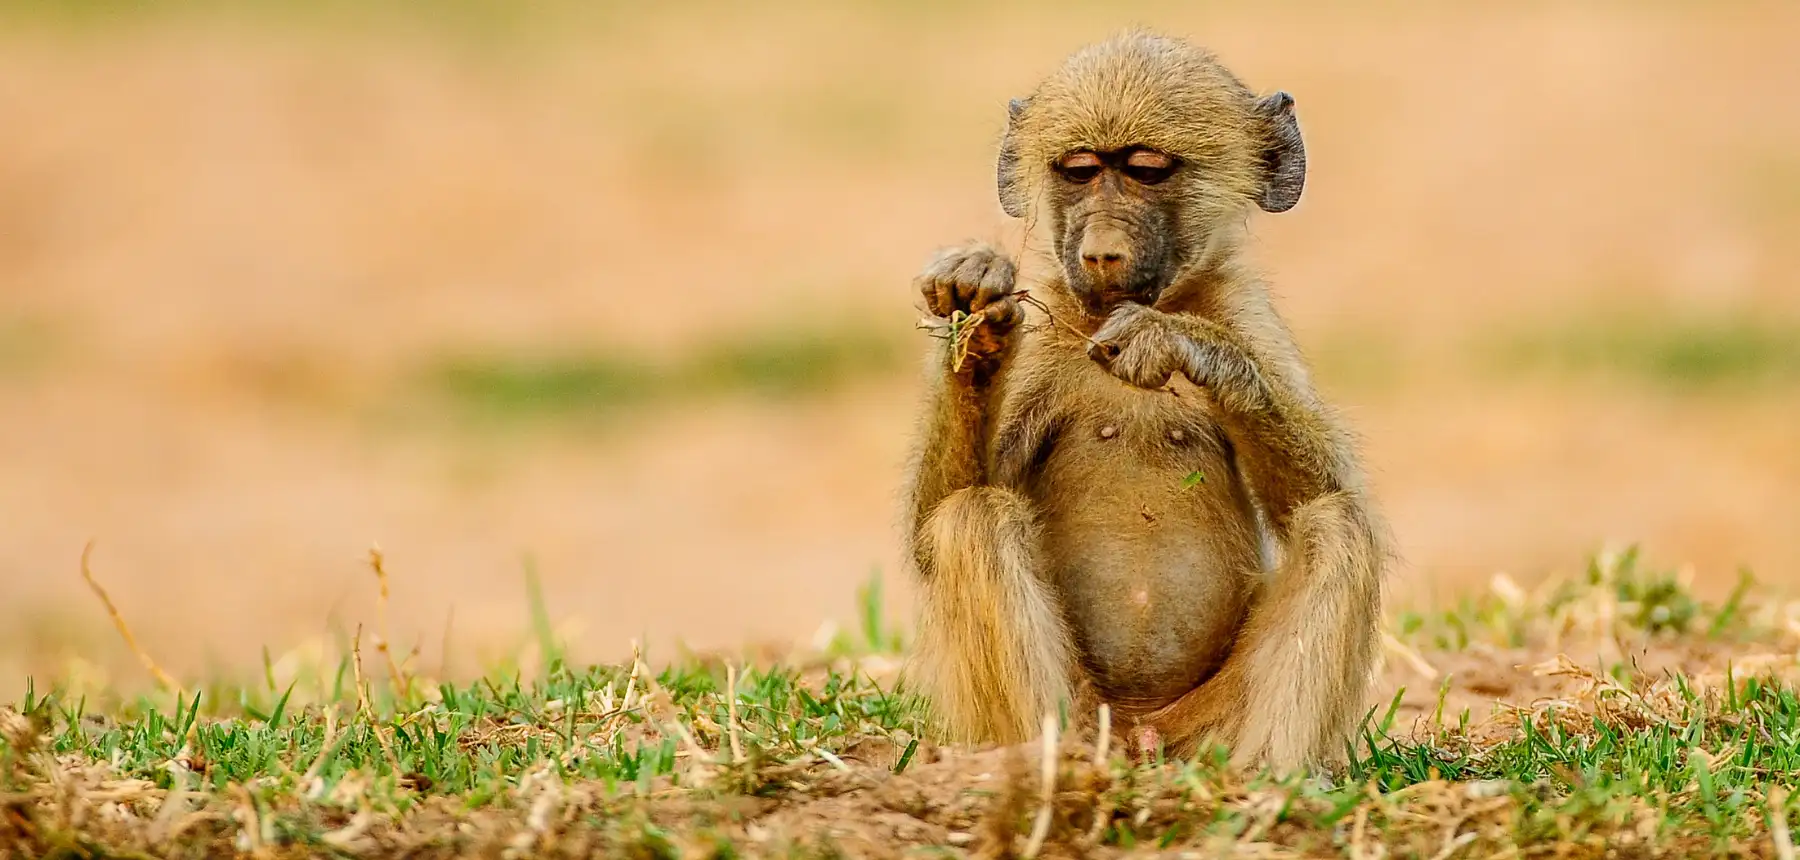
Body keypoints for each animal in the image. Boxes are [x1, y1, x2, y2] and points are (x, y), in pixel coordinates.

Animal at [901, 31, 1390, 773]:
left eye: (1148, 171)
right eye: (1079, 171)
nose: (1102, 253)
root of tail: (1138, 732)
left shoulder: (1245, 316)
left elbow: (1323, 495)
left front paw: (1181, 346)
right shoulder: (1046, 346)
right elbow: (929, 534)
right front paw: (974, 309)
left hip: (1202, 731)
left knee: (1339, 528)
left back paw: (1267, 778)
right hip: (1078, 709)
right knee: (973, 518)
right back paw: (1055, 759)